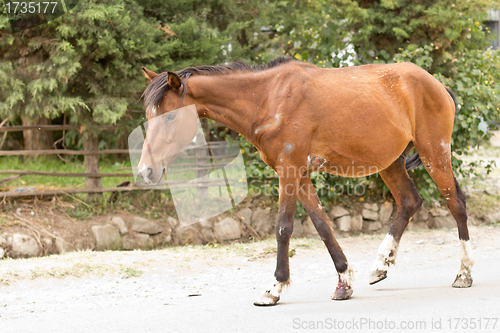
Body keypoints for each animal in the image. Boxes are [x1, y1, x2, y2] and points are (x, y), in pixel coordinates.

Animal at [140, 56, 472, 304]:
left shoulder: (289, 171)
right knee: (409, 202)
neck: (267, 99)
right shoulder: (298, 175)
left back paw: (464, 274)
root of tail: (435, 83)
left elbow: (283, 228)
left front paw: (274, 288)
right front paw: (343, 282)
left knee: (456, 203)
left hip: (434, 153)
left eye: (170, 117)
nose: (145, 171)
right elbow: (322, 226)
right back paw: (380, 265)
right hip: (391, 163)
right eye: (148, 114)